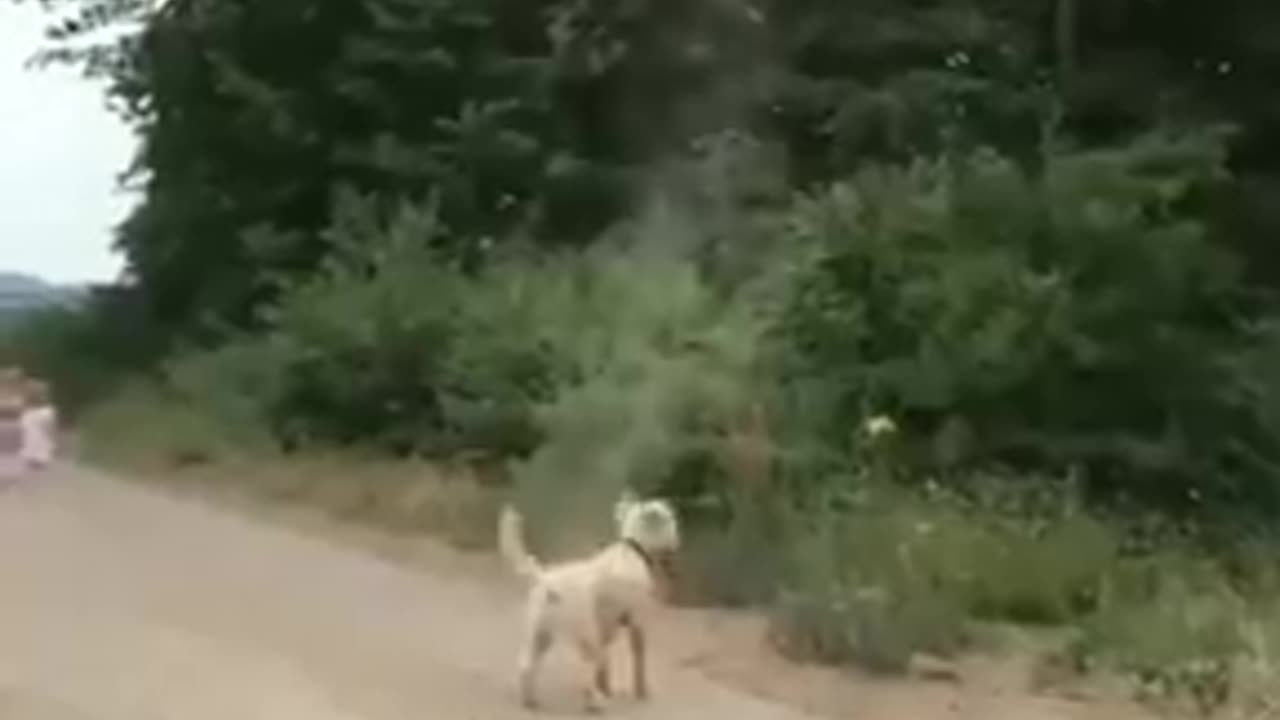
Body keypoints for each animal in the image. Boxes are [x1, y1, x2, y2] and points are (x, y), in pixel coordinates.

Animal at [496, 489, 686, 707]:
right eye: (670, 519)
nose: (677, 544)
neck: (631, 549)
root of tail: (546, 580)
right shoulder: (637, 621)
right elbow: (637, 659)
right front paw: (640, 691)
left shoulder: (608, 626)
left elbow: (605, 663)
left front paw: (606, 687)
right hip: (584, 632)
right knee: (584, 671)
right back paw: (594, 702)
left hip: (539, 632)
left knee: (526, 665)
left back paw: (531, 700)